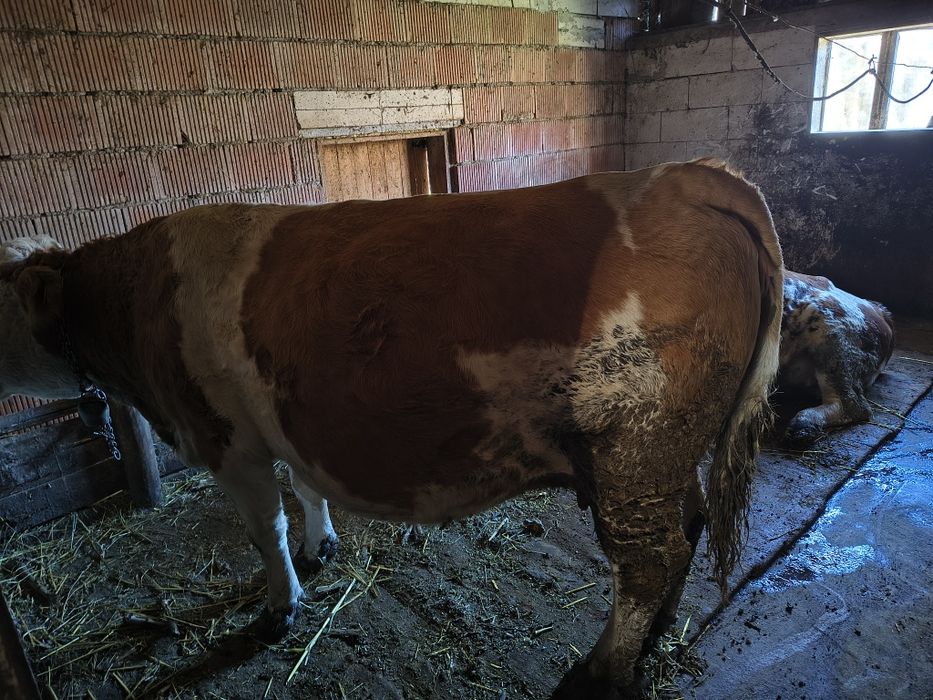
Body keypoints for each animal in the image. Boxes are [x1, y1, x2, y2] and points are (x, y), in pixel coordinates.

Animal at [0, 160, 782, 696]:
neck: (134, 300)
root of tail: (688, 175)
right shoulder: (283, 419)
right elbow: (305, 489)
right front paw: (321, 546)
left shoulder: (224, 436)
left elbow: (265, 529)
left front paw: (281, 606)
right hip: (665, 455)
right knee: (687, 528)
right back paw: (653, 639)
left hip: (636, 445)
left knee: (647, 560)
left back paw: (600, 671)